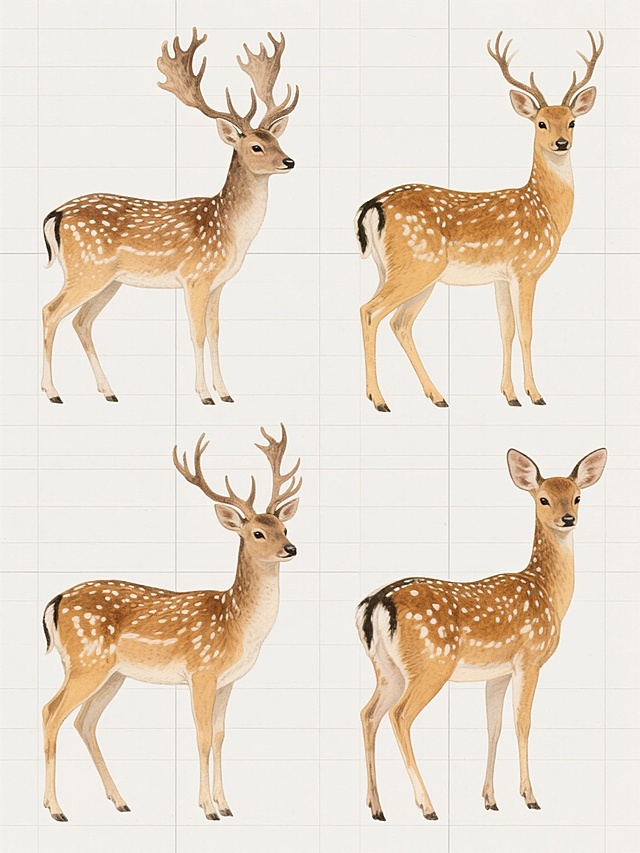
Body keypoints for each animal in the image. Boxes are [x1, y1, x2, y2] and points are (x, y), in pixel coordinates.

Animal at [41, 29, 299, 405]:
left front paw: (226, 393)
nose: (289, 161)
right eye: (256, 146)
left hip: (108, 280)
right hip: (86, 268)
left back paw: (109, 391)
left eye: (276, 140)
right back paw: (52, 392)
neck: (231, 231)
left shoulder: (218, 283)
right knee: (50, 311)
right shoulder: (196, 275)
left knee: (81, 322)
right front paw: (204, 394)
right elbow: (197, 333)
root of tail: (56, 214)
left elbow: (216, 331)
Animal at [41, 425, 301, 822]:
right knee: (51, 713)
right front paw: (208, 808)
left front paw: (226, 805)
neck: (237, 624)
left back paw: (119, 801)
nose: (291, 549)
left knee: (84, 721)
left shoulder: (228, 680)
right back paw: (56, 809)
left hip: (111, 674)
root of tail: (55, 602)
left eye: (284, 526)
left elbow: (221, 735)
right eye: (257, 532)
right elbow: (203, 736)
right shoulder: (202, 671)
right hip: (86, 661)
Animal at [356, 31, 603, 412]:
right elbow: (527, 330)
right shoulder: (526, 268)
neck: (546, 210)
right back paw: (380, 400)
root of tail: (374, 205)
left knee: (400, 323)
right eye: (541, 123)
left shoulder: (501, 276)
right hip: (417, 266)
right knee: (370, 312)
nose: (561, 143)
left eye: (572, 121)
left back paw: (436, 396)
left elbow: (506, 329)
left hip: (399, 270)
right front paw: (536, 395)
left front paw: (510, 395)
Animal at [356, 447, 607, 821]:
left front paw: (490, 799)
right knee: (399, 715)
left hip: (386, 669)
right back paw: (427, 805)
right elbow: (522, 722)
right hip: (430, 664)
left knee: (368, 713)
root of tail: (376, 603)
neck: (548, 592)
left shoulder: (498, 672)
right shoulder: (530, 658)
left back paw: (377, 807)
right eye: (544, 498)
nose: (568, 519)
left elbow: (494, 725)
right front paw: (529, 797)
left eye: (577, 497)